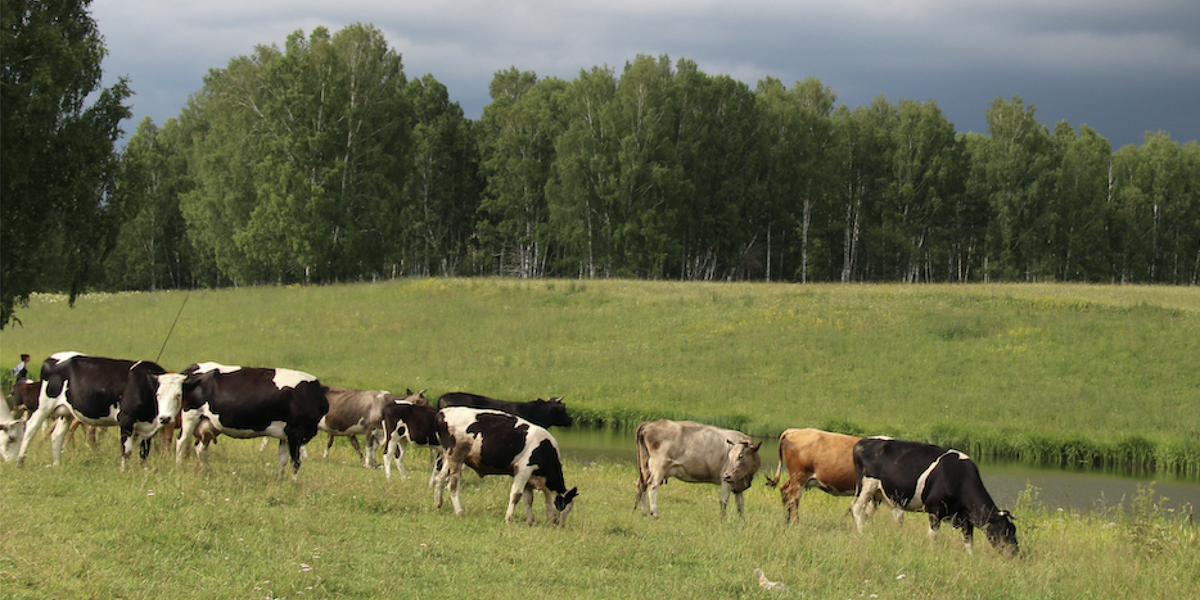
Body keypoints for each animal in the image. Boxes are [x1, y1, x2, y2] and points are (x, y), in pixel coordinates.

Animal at [11, 350, 184, 468]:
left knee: (57, 436)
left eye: (178, 395)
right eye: (158, 394)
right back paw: (20, 462)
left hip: (65, 412)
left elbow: (144, 452)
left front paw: (143, 471)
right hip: (44, 405)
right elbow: (126, 450)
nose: (166, 418)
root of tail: (53, 358)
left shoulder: (148, 426)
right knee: (30, 429)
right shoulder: (126, 419)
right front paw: (125, 472)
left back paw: (56, 465)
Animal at [175, 360, 331, 477]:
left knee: (200, 448)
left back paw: (207, 472)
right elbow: (296, 462)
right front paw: (293, 484)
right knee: (182, 443)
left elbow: (282, 460)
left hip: (208, 423)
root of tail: (195, 367)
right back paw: (179, 469)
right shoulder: (296, 433)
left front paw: (279, 481)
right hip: (190, 415)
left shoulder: (285, 435)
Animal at [434, 405, 578, 523]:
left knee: (439, 478)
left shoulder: (529, 477)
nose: (558, 524)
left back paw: (438, 505)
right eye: (562, 506)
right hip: (456, 456)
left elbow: (528, 499)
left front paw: (530, 521)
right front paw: (509, 519)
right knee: (452, 484)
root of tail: (442, 412)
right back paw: (459, 512)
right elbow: (516, 495)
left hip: (448, 456)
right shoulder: (524, 469)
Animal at [849, 436, 1017, 556]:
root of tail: (863, 441)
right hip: (866, 486)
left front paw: (970, 558)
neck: (959, 477)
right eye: (1004, 531)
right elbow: (933, 534)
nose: (1015, 553)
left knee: (868, 513)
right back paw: (862, 532)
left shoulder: (966, 516)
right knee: (857, 508)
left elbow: (968, 540)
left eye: (1013, 530)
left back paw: (870, 530)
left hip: (878, 493)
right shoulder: (936, 509)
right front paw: (933, 552)